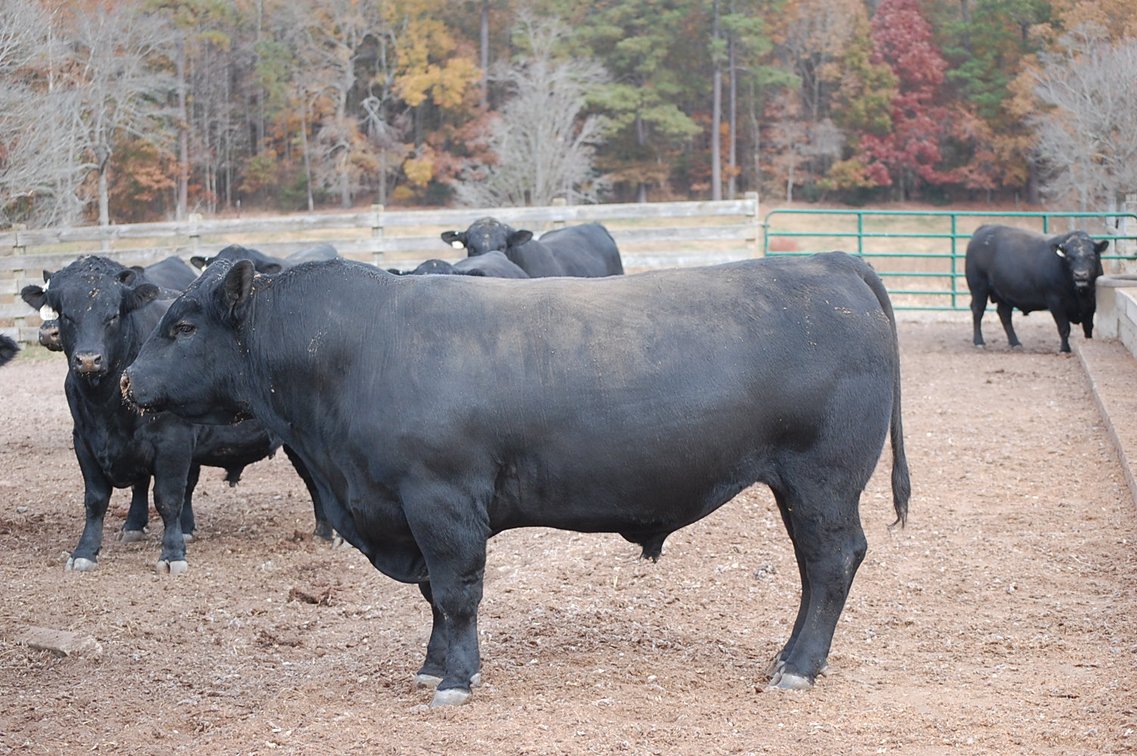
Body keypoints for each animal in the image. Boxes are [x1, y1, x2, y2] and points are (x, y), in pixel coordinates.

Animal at [18, 255, 331, 573]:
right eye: (65, 314)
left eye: (114, 315)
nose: (88, 360)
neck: (106, 404)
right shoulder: (84, 440)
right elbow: (96, 499)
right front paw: (86, 550)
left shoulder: (173, 442)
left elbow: (168, 498)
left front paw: (172, 553)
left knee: (315, 481)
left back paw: (325, 532)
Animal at [122, 251, 910, 706]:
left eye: (184, 326)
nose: (127, 380)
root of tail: (830, 267)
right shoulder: (407, 510)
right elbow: (434, 599)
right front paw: (431, 667)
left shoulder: (441, 503)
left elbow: (456, 592)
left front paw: (455, 679)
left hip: (822, 480)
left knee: (830, 562)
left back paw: (797, 667)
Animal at [966, 224, 1109, 353]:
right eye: (1069, 257)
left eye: (1092, 256)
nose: (1080, 274)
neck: (1079, 294)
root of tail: (985, 228)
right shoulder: (1055, 302)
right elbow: (1064, 328)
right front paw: (1065, 349)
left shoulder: (1091, 304)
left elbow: (1088, 328)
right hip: (979, 288)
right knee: (978, 311)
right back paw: (979, 342)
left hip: (1003, 293)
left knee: (1004, 315)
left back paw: (1015, 343)